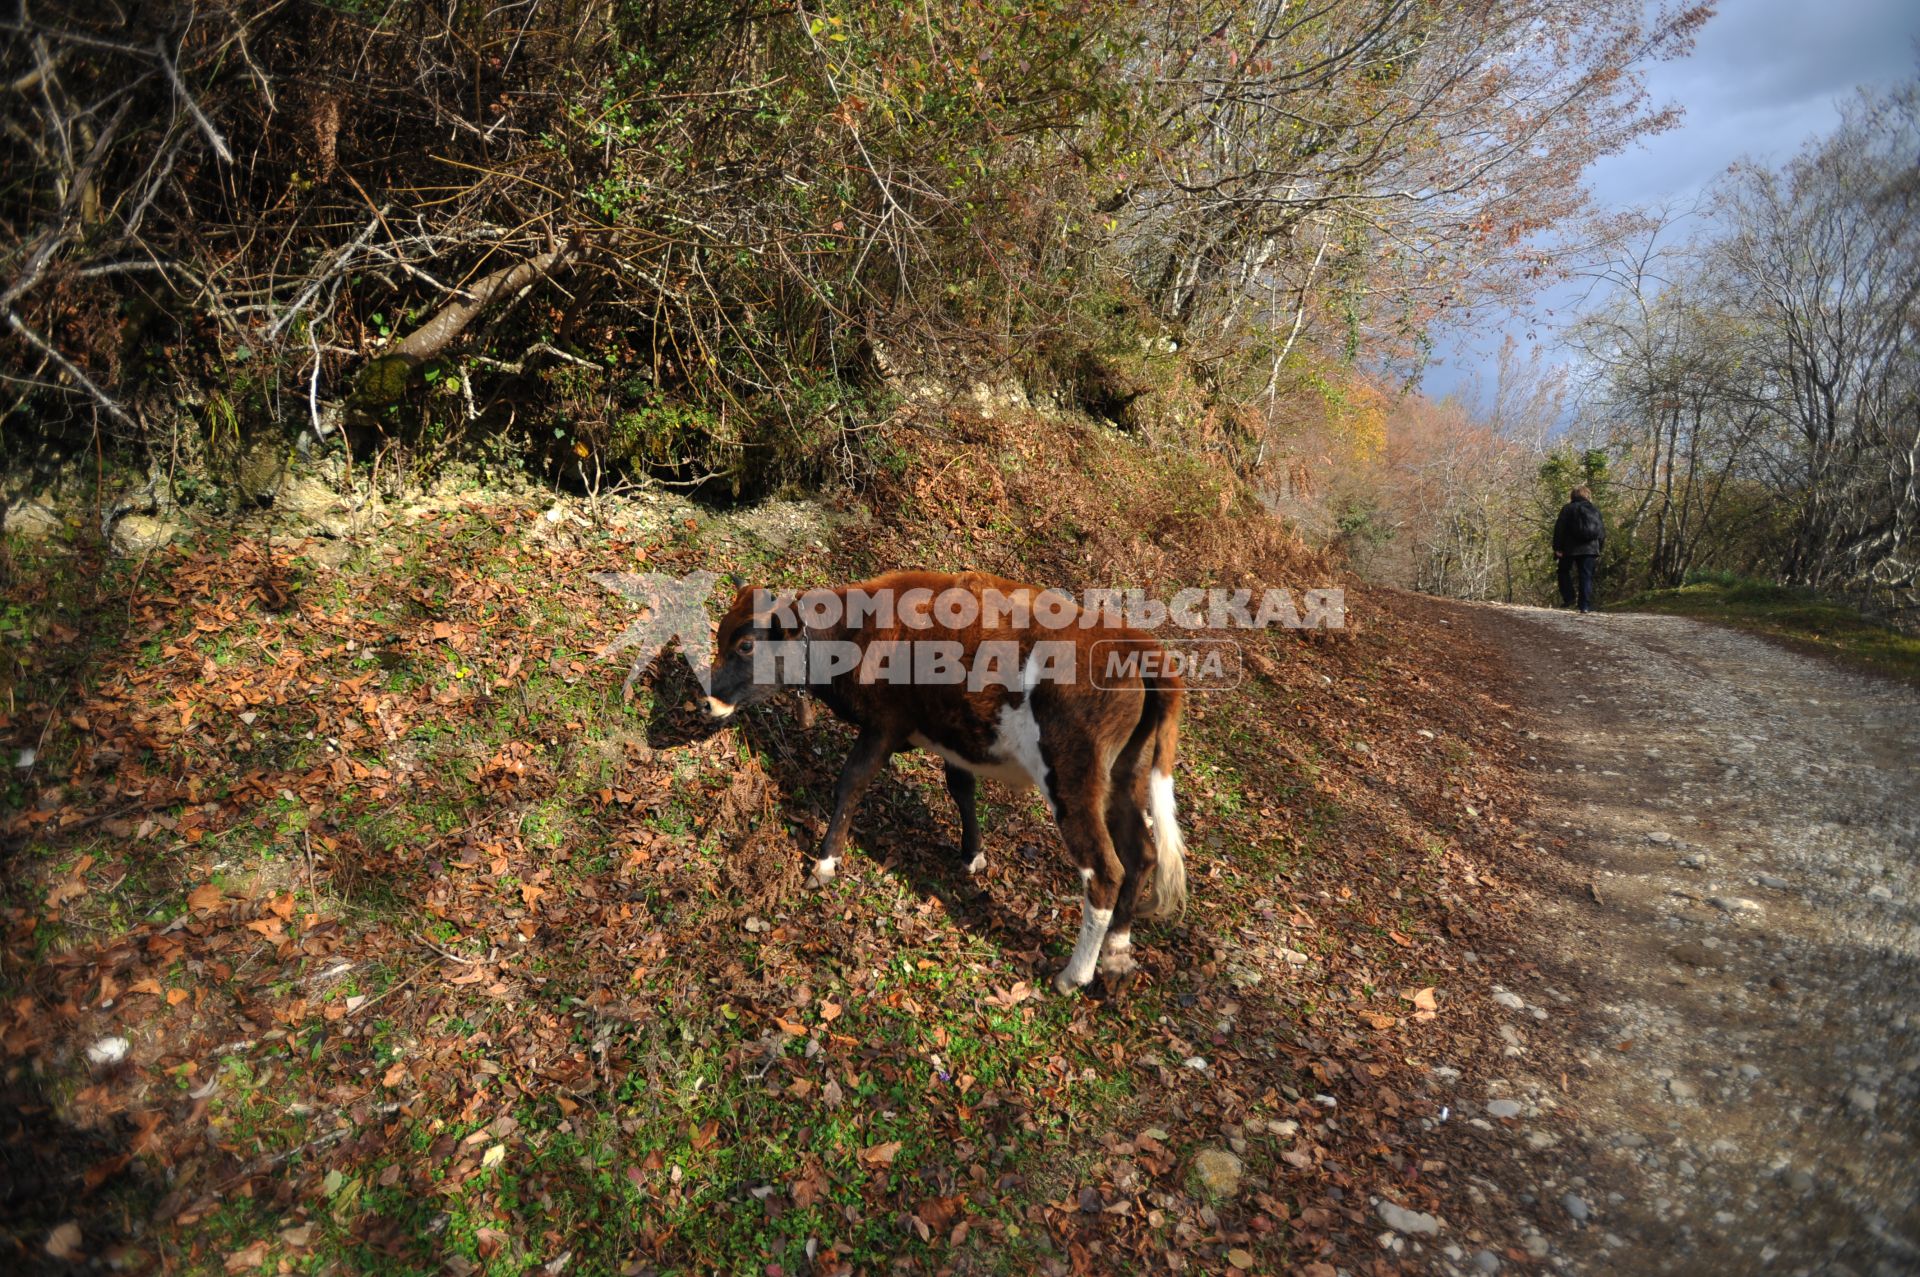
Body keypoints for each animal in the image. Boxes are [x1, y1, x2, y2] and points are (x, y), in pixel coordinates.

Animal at [706, 568, 1182, 998]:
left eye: (746, 644)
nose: (708, 699)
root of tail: (1137, 645)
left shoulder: (883, 725)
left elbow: (851, 784)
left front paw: (825, 861)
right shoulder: (954, 739)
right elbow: (961, 789)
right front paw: (973, 853)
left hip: (1073, 781)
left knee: (1105, 872)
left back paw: (1074, 975)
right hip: (1124, 778)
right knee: (1142, 855)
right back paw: (1116, 954)